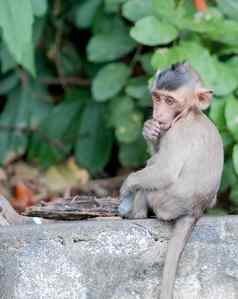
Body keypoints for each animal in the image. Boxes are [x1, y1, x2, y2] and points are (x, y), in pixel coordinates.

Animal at [118, 62, 224, 299]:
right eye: (157, 98)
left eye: (170, 101)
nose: (158, 113)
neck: (190, 114)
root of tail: (196, 210)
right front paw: (149, 130)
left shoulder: (178, 133)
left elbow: (165, 170)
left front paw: (126, 188)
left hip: (165, 202)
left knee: (149, 183)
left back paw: (136, 214)